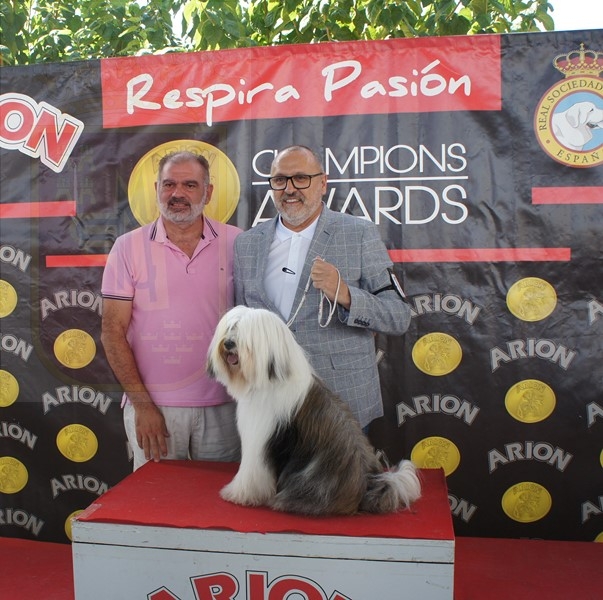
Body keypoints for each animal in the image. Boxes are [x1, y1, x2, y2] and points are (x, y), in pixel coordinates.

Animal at [206, 305, 421, 516]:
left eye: (245, 333)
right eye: (230, 328)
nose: (228, 343)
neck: (271, 378)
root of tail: (366, 483)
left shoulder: (259, 439)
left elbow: (251, 472)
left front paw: (238, 494)